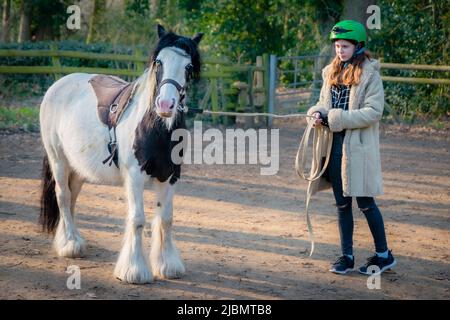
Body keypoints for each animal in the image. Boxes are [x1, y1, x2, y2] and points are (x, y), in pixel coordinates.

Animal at [38, 25, 204, 284]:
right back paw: (70, 245)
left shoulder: (170, 176)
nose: (165, 105)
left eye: (188, 67)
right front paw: (134, 270)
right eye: (159, 62)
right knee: (63, 197)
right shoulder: (135, 176)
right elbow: (137, 219)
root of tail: (59, 84)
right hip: (58, 160)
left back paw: (69, 239)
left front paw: (168, 265)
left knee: (72, 198)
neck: (155, 127)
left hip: (78, 168)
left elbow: (166, 218)